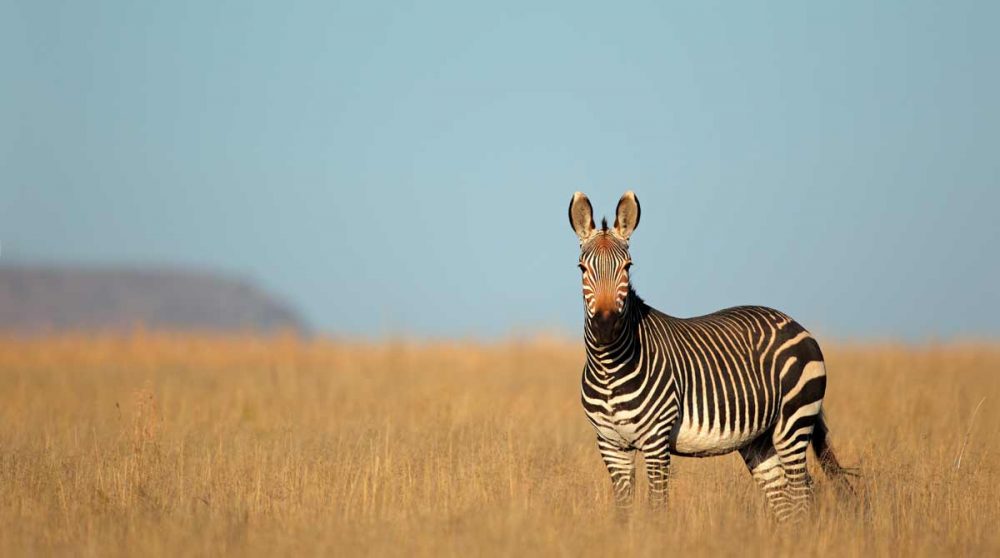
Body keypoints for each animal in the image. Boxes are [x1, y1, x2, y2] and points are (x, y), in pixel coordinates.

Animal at [569, 191, 853, 522]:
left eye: (627, 267)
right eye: (582, 269)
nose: (605, 327)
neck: (609, 368)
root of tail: (793, 322)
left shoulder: (655, 441)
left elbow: (657, 508)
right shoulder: (612, 446)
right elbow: (624, 513)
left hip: (793, 422)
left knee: (802, 496)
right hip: (759, 440)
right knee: (784, 501)